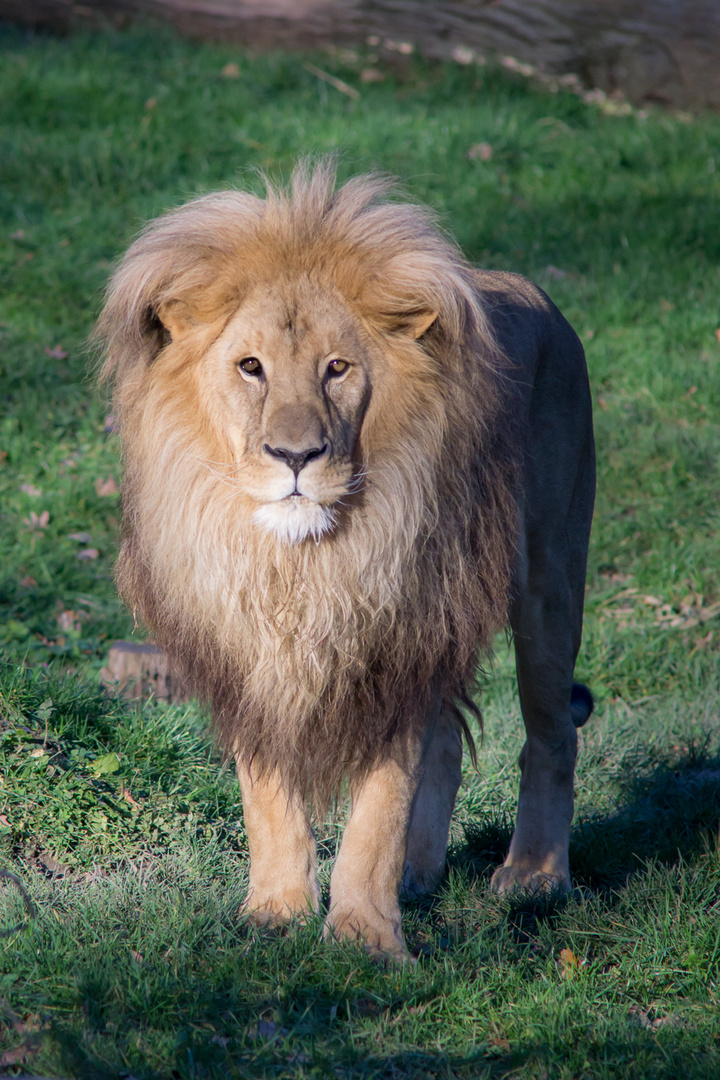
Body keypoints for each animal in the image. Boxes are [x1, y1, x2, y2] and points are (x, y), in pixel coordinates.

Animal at [99, 157, 595, 963]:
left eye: (337, 368)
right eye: (251, 367)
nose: (295, 455)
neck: (302, 564)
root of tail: (540, 297)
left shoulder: (401, 636)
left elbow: (378, 810)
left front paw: (362, 936)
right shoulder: (254, 653)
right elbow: (268, 796)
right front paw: (276, 914)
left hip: (551, 583)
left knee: (551, 733)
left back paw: (535, 876)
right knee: (447, 742)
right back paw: (421, 874)